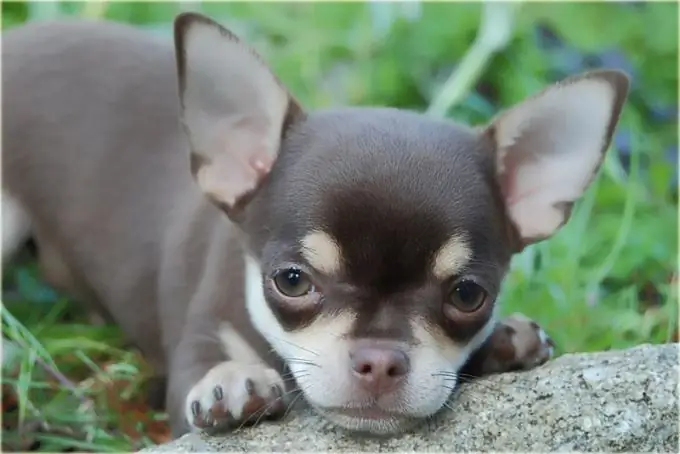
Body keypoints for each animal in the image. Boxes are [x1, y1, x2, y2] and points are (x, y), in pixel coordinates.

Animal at [0, 12, 628, 438]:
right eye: (292, 281)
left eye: (469, 294)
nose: (380, 360)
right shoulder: (197, 345)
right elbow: (206, 376)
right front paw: (232, 380)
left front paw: (502, 341)